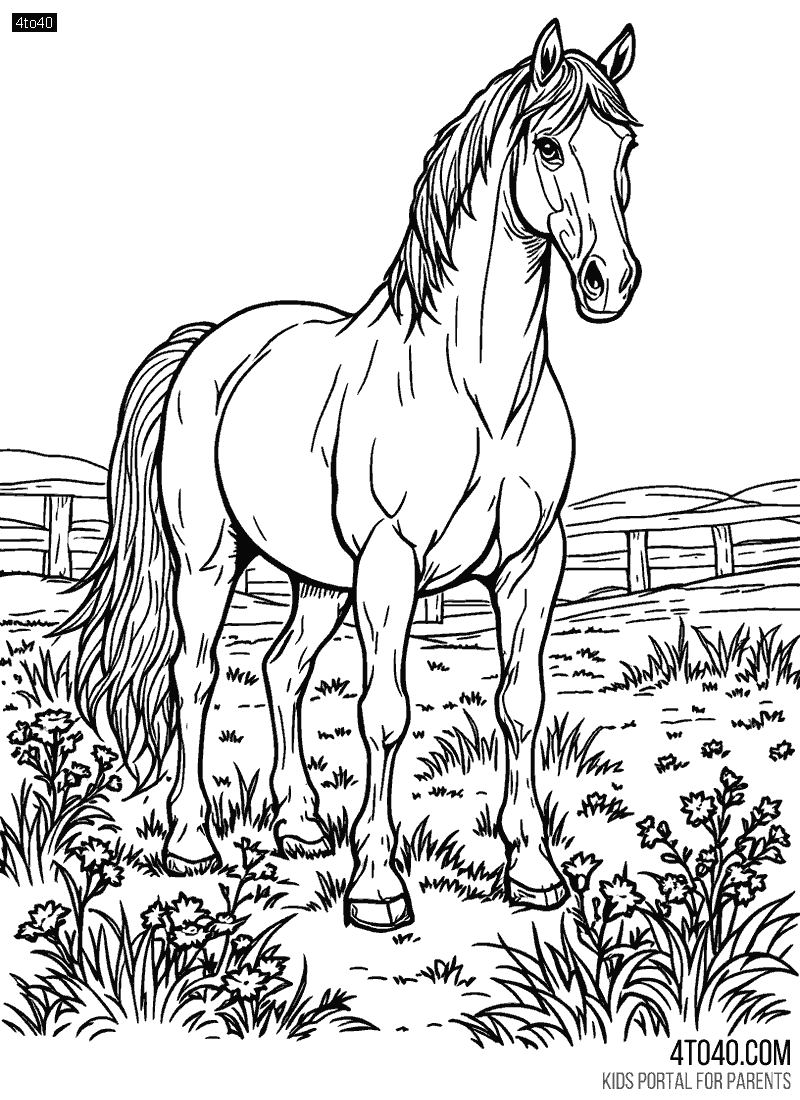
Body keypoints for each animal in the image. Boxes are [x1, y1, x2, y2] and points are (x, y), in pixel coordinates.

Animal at [63, 19, 641, 933]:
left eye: (625, 147)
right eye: (549, 146)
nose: (611, 282)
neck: (478, 390)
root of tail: (207, 344)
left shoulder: (530, 565)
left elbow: (522, 704)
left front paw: (533, 870)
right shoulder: (392, 566)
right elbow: (383, 713)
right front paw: (378, 884)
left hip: (319, 581)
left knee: (282, 669)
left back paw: (298, 825)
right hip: (210, 560)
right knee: (196, 676)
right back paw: (192, 841)